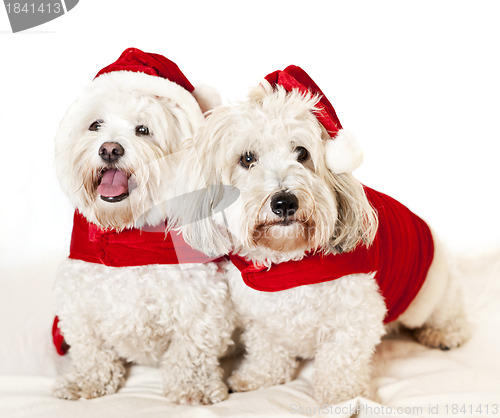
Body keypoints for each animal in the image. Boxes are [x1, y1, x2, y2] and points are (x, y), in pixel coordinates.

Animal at [51, 49, 235, 404]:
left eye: (143, 130)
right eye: (95, 125)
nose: (110, 149)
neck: (128, 238)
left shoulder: (201, 302)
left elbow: (192, 349)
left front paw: (193, 387)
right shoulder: (80, 302)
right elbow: (91, 349)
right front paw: (87, 380)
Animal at [182, 65, 470, 404]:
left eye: (302, 152)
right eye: (247, 158)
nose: (284, 202)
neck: (289, 263)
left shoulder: (356, 316)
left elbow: (341, 359)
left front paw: (342, 395)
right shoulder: (261, 317)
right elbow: (267, 349)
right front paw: (260, 377)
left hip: (431, 291)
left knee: (448, 313)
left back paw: (444, 333)